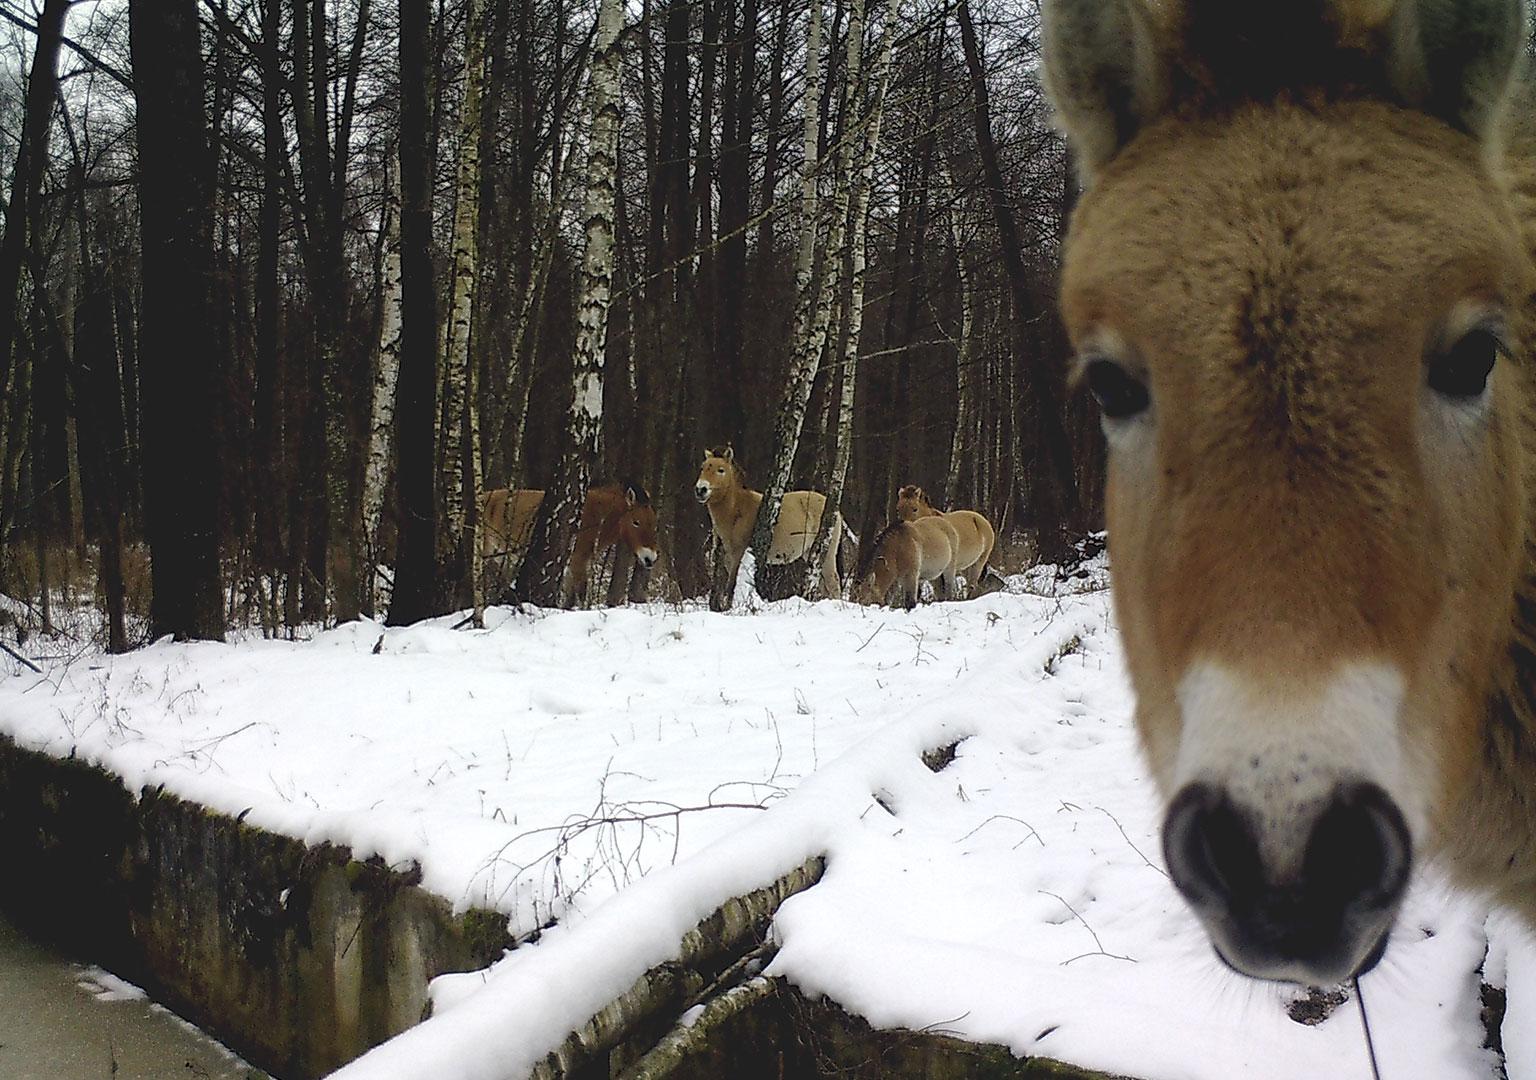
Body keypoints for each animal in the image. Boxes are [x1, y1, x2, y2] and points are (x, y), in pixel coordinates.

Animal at [479, 482, 660, 608]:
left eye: (653, 524)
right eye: (636, 522)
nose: (650, 558)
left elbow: (570, 597)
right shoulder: (577, 562)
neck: (595, 517)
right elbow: (580, 593)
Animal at [694, 448, 841, 599]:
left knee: (833, 583)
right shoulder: (730, 555)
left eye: (721, 470)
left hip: (828, 552)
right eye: (702, 468)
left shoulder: (739, 553)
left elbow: (732, 584)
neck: (737, 509)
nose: (701, 489)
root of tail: (836, 510)